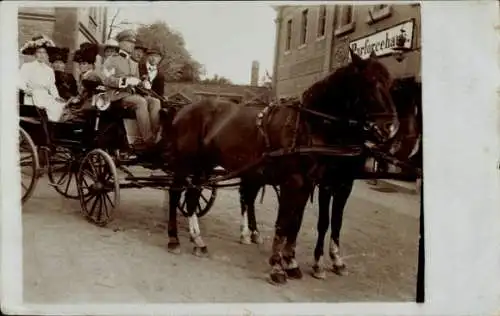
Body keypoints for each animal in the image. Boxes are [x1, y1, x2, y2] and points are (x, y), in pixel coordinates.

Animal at [163, 50, 398, 284]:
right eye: (369, 82)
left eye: (389, 83)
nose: (390, 128)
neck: (307, 125)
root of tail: (184, 109)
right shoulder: (294, 183)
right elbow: (283, 223)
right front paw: (277, 266)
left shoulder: (310, 184)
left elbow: (296, 223)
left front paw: (292, 263)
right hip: (185, 165)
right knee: (176, 194)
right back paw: (174, 239)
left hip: (204, 167)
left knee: (193, 197)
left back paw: (199, 241)